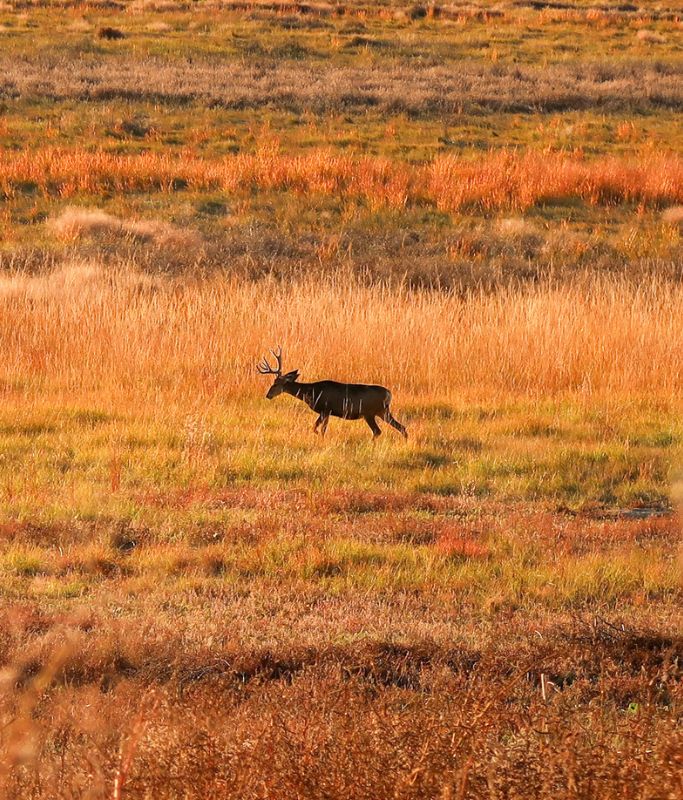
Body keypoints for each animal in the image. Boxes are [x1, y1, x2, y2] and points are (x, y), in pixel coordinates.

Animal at [256, 346, 406, 440]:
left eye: (276, 383)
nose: (268, 395)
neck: (312, 393)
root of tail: (388, 393)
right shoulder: (327, 412)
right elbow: (317, 428)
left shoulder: (326, 409)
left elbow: (318, 429)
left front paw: (321, 438)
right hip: (382, 412)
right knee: (401, 427)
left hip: (370, 412)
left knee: (378, 431)